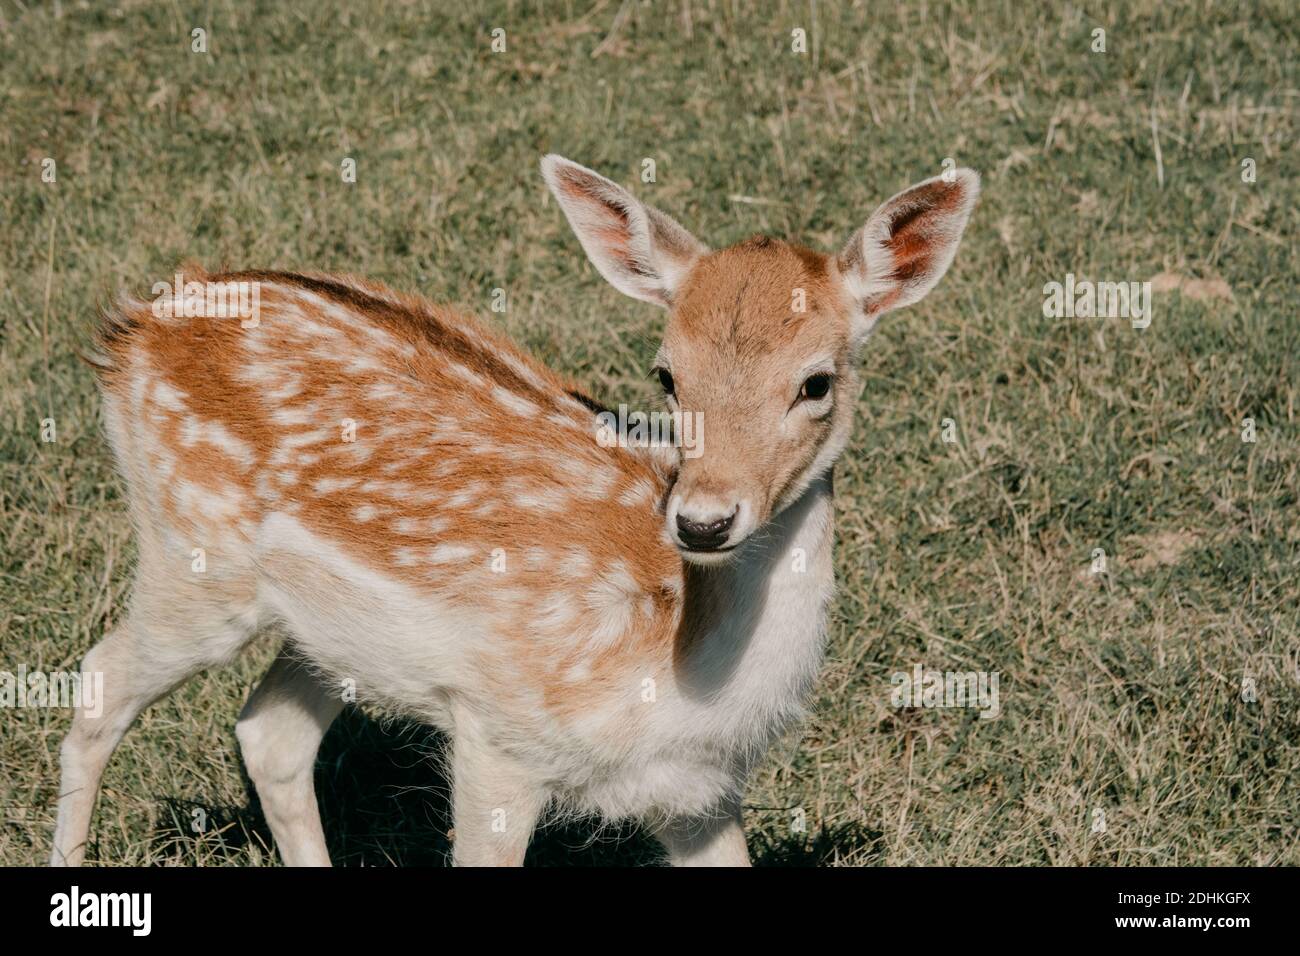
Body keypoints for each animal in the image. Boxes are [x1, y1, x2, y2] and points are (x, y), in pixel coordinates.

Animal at [53, 157, 977, 868]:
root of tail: (133, 326)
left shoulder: (699, 793)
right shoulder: (499, 734)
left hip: (321, 631)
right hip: (191, 552)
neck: (672, 666)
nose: (703, 521)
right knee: (99, 683)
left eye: (816, 382)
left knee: (270, 733)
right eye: (666, 373)